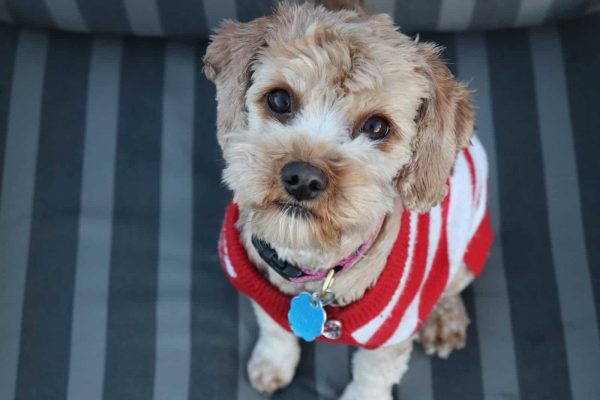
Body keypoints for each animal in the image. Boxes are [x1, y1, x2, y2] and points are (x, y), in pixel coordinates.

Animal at [202, 1, 492, 398]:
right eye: (279, 99)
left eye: (377, 127)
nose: (303, 178)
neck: (313, 270)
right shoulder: (261, 293)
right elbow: (275, 329)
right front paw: (272, 365)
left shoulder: (389, 339)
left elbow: (372, 376)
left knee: (450, 286)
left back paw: (443, 320)